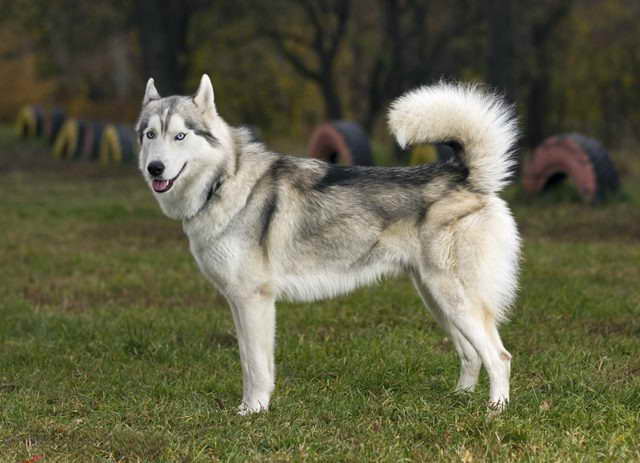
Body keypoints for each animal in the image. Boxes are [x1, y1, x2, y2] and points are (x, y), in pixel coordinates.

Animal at [135, 74, 520, 416]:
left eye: (180, 136)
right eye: (150, 134)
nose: (155, 168)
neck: (222, 182)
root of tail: (463, 175)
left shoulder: (253, 300)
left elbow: (256, 367)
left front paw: (253, 411)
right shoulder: (239, 304)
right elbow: (250, 361)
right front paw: (253, 407)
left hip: (455, 299)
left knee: (499, 357)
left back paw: (494, 411)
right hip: (437, 300)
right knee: (471, 355)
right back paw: (460, 399)